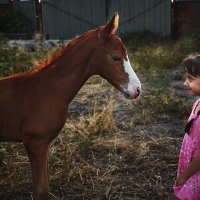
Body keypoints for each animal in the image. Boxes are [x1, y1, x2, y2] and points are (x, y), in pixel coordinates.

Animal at [0, 13, 141, 199]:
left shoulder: (42, 145)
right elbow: (41, 190)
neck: (48, 89)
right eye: (115, 57)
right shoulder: (35, 142)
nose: (137, 89)